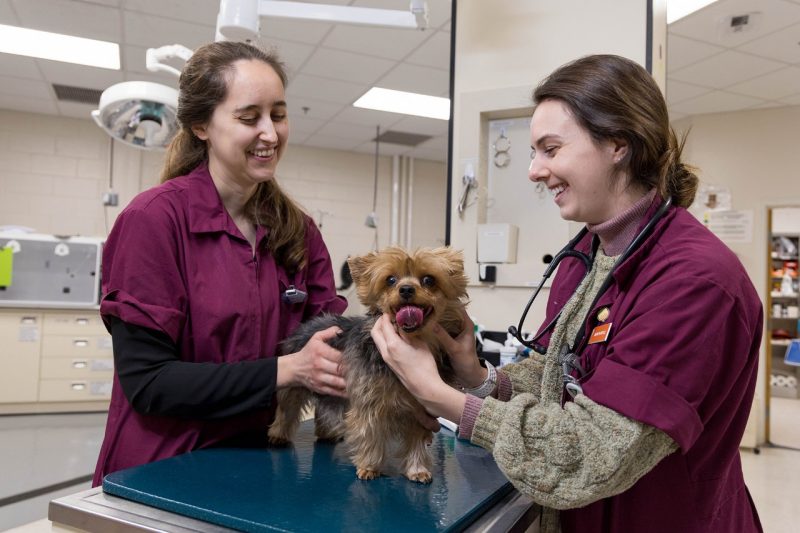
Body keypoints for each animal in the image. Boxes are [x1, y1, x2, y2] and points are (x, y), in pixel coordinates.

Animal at [268, 245, 468, 482]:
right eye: (391, 280)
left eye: (429, 279)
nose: (406, 289)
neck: (415, 341)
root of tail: (307, 324)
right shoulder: (369, 400)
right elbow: (371, 431)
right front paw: (370, 467)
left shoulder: (422, 407)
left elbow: (417, 441)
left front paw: (417, 468)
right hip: (297, 381)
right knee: (287, 408)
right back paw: (278, 434)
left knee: (325, 406)